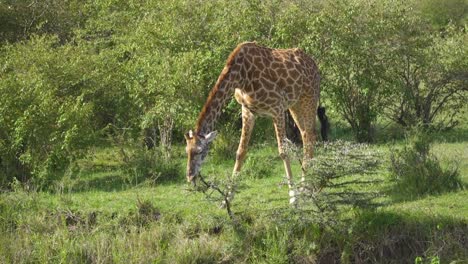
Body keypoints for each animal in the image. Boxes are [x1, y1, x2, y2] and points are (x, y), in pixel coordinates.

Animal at [184, 42, 326, 204]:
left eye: (200, 151)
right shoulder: (248, 110)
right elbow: (240, 152)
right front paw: (227, 198)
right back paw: (305, 186)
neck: (241, 76)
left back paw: (307, 188)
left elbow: (283, 152)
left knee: (310, 136)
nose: (190, 177)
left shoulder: (277, 108)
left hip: (309, 98)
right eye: (187, 151)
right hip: (295, 104)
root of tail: (314, 64)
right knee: (306, 134)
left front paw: (293, 197)